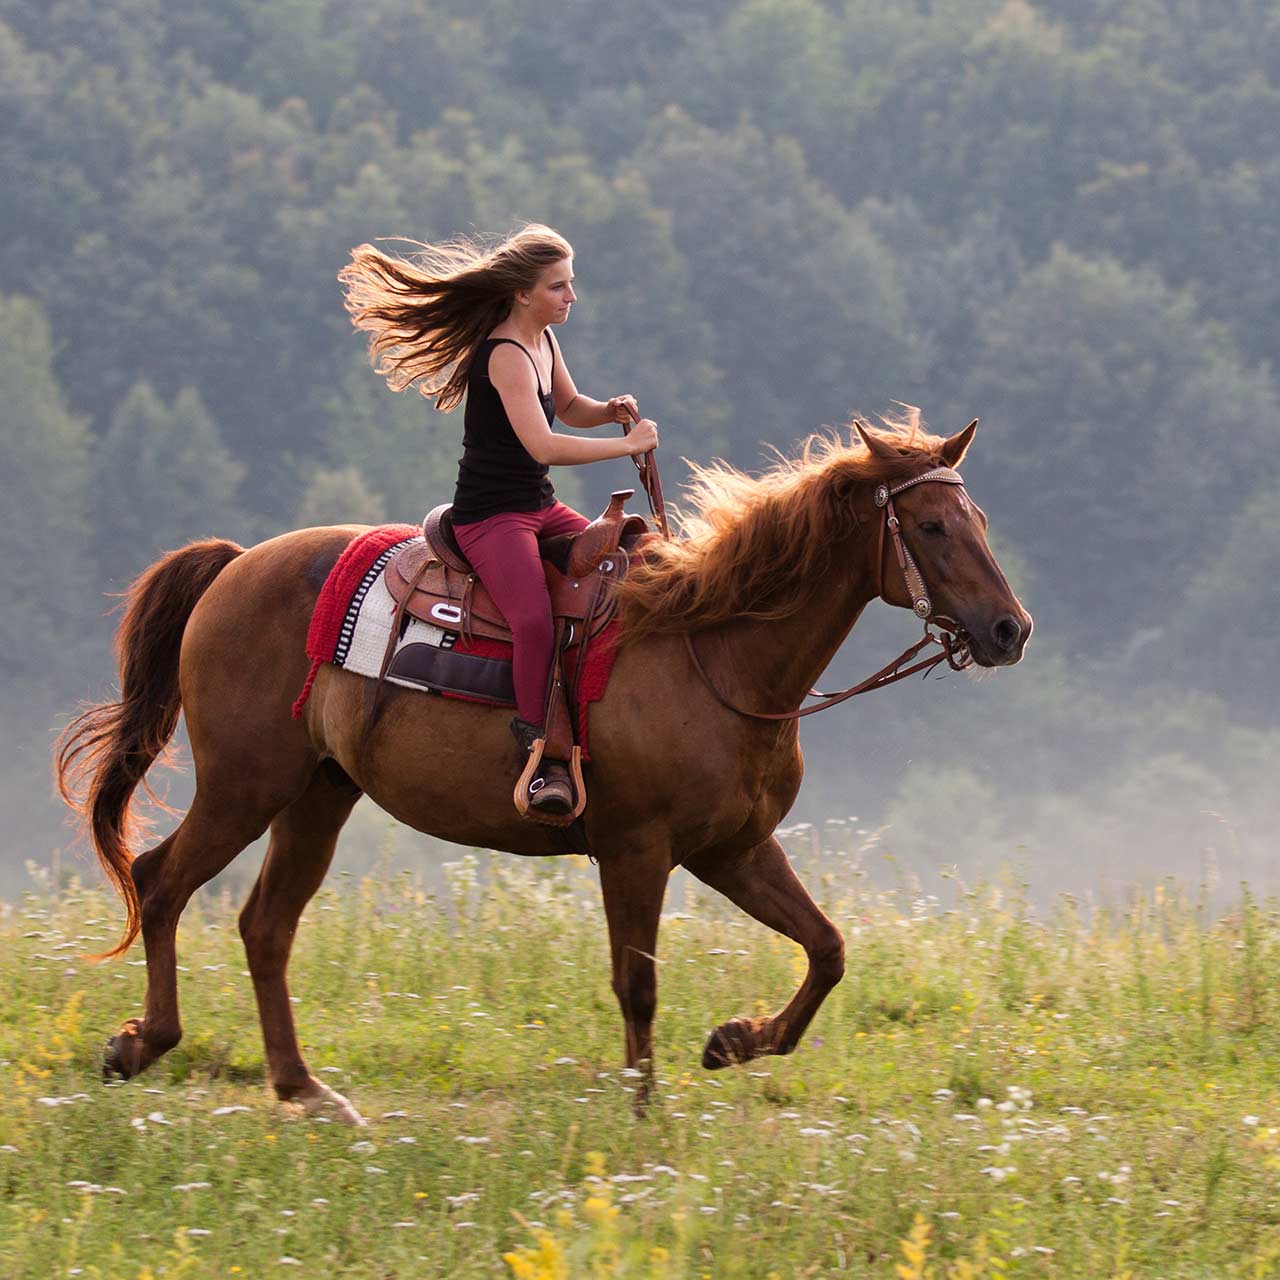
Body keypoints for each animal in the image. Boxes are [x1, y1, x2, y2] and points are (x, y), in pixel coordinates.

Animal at [56, 417, 1031, 1125]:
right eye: (933, 526)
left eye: (982, 521)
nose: (1009, 630)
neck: (714, 648)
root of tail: (232, 567)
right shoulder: (638, 850)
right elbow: (638, 982)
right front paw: (644, 1111)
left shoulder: (734, 850)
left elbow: (827, 949)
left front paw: (732, 1041)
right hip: (244, 785)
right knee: (163, 880)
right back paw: (140, 1045)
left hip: (318, 795)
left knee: (265, 926)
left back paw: (307, 1090)